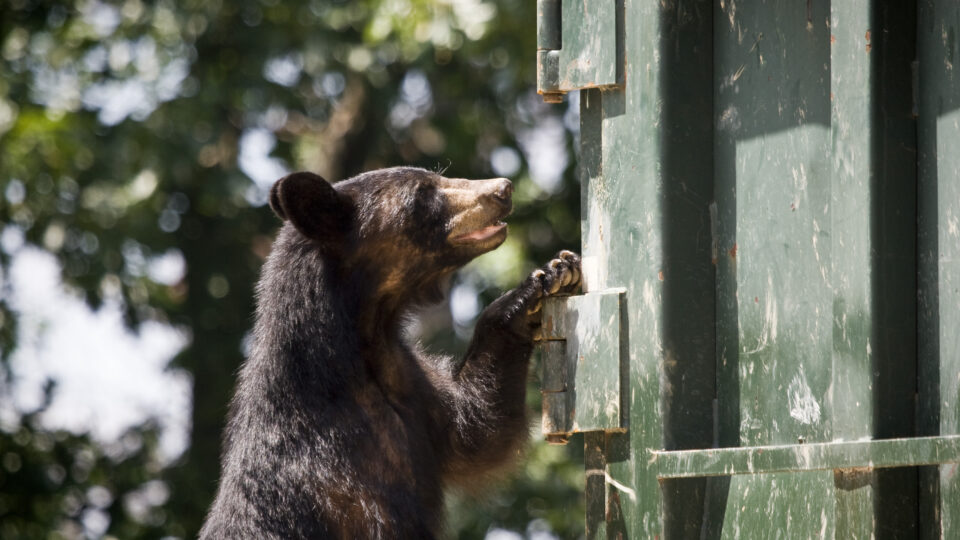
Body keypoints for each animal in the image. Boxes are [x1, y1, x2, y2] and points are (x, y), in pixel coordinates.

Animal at [198, 166, 581, 539]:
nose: (503, 188)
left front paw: (542, 282)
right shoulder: (337, 475)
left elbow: (477, 428)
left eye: (437, 174)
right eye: (422, 195)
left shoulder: (410, 385)